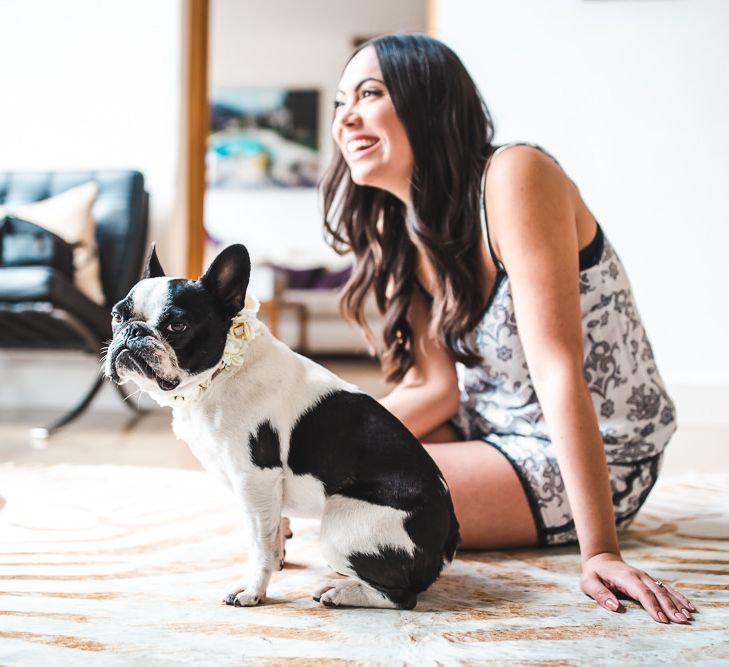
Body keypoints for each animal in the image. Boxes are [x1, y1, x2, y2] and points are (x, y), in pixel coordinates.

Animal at [105, 245, 458, 612]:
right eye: (117, 317)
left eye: (177, 325)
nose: (133, 331)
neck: (221, 376)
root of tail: (448, 532)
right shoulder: (258, 490)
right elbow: (271, 533)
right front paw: (276, 558)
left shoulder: (254, 478)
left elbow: (258, 542)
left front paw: (253, 589)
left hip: (340, 526)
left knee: (403, 596)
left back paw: (340, 592)